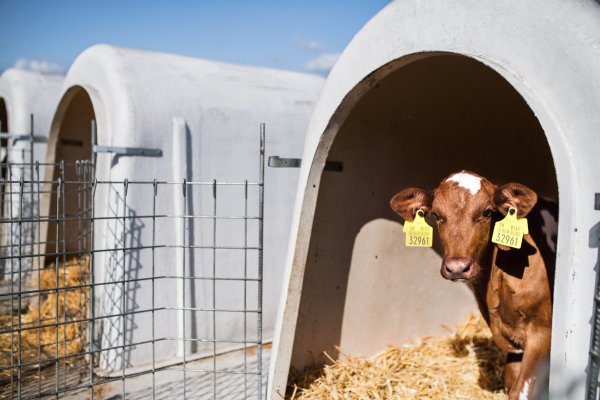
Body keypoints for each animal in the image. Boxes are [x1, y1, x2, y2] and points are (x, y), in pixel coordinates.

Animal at [390, 170, 556, 398]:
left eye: (487, 212)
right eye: (436, 215)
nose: (457, 267)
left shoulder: (542, 331)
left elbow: (520, 391)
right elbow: (511, 381)